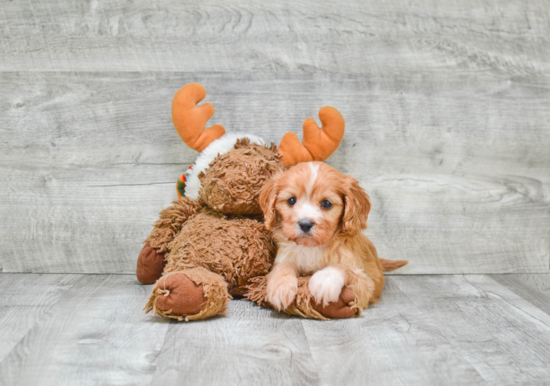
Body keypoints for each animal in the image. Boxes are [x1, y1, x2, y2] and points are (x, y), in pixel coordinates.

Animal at [260, 161, 410, 316]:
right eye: (291, 200)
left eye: (326, 203)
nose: (305, 224)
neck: (312, 247)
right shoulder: (285, 256)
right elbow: (284, 265)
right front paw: (280, 286)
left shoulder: (365, 284)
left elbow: (344, 268)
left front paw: (324, 281)